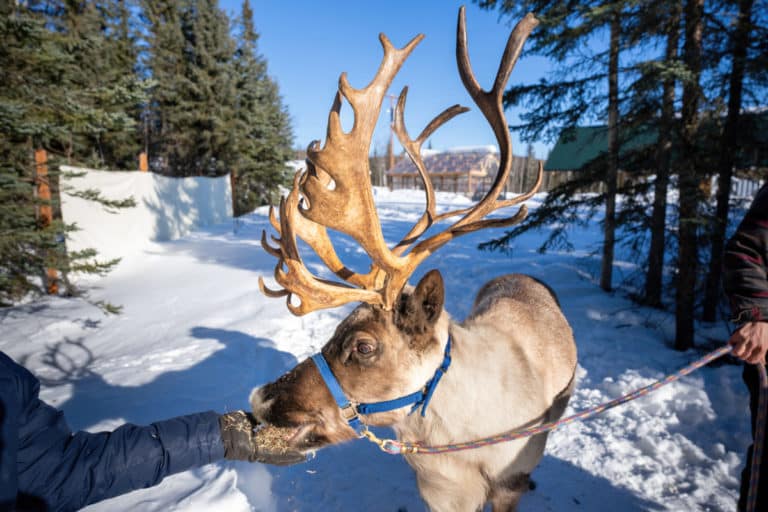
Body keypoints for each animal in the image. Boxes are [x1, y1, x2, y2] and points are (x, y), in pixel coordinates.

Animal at [250, 7, 577, 512]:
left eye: (364, 347)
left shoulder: (510, 482)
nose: (260, 398)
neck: (462, 437)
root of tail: (520, 275)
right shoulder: (442, 494)